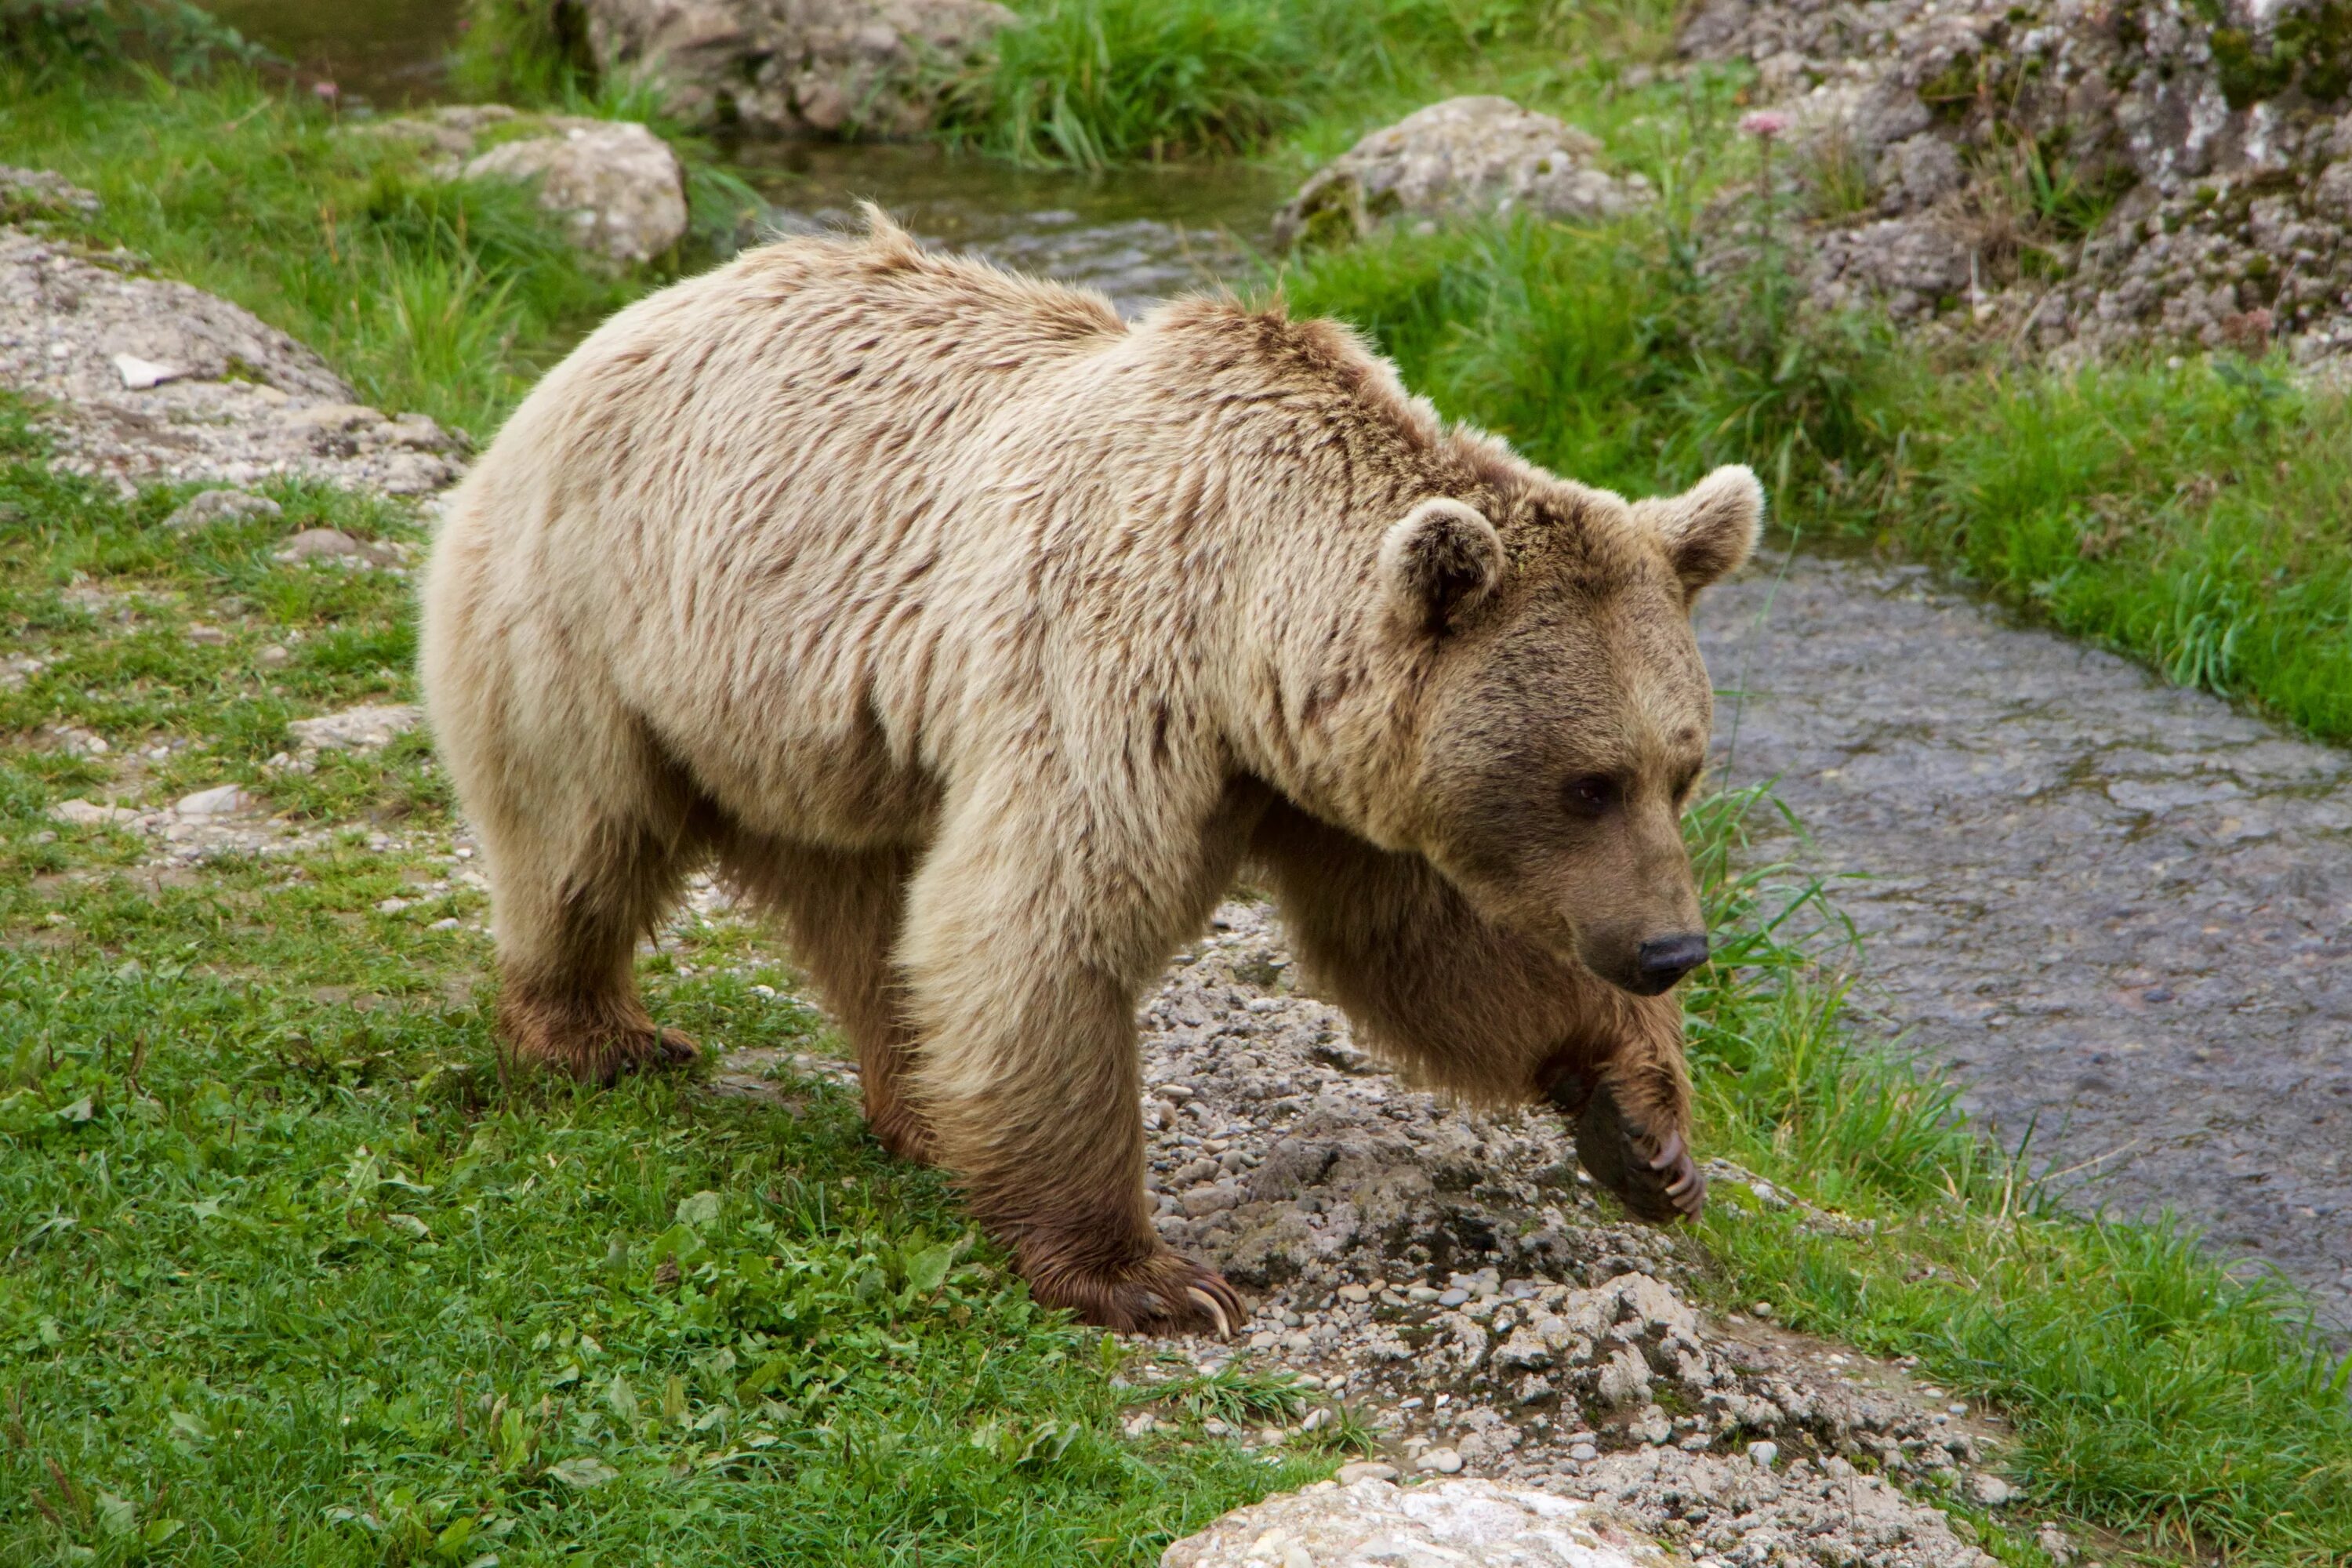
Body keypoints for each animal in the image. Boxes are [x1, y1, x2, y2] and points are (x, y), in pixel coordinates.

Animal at [414, 205, 1759, 1335]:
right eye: (1587, 781)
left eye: (1680, 769)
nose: (1671, 948)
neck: (1248, 632)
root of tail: (613, 329)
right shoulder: (1109, 670)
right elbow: (1047, 923)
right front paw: (1149, 1277)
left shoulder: (1329, 779)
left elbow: (1427, 945)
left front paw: (1644, 1129)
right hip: (607, 618)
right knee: (583, 833)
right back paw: (598, 1034)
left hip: (822, 736)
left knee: (871, 912)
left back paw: (920, 1106)